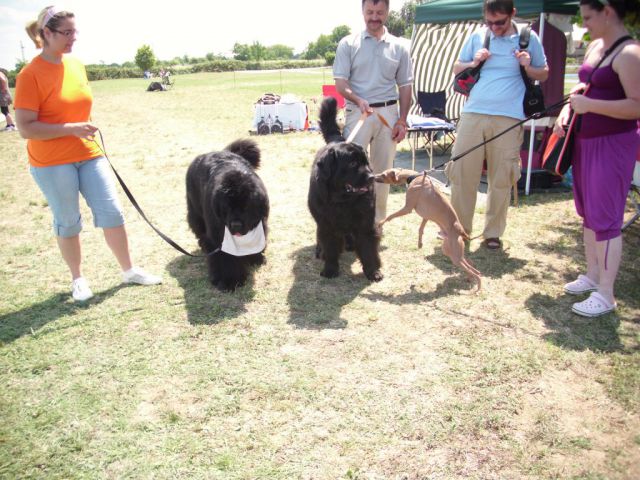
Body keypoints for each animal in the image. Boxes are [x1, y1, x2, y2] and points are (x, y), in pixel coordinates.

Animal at [185, 137, 268, 290]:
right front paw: (230, 281)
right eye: (227, 207)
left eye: (246, 207)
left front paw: (255, 258)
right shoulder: (218, 235)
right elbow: (226, 259)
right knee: (200, 231)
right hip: (196, 211)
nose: (235, 225)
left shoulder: (261, 223)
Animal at [308, 96, 382, 282]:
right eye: (353, 164)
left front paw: (373, 272)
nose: (371, 177)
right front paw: (330, 269)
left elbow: (368, 249)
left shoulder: (365, 223)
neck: (342, 201)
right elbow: (330, 247)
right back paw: (320, 251)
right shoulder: (326, 223)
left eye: (366, 162)